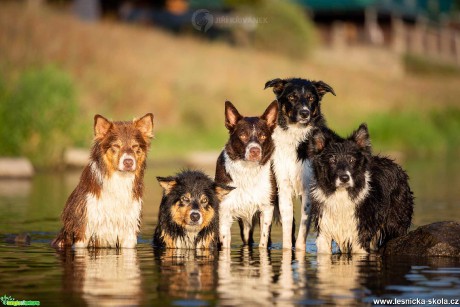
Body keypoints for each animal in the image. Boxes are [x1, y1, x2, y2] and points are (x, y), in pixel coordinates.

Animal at [51, 113, 154, 250]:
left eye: (135, 146)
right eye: (116, 146)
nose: (128, 162)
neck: (119, 181)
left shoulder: (129, 231)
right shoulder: (83, 229)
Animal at [215, 101, 276, 250]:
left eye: (262, 136)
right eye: (243, 135)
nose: (255, 150)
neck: (248, 172)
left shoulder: (267, 208)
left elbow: (263, 242)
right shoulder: (225, 209)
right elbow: (225, 242)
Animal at [264, 77, 336, 250]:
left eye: (310, 98)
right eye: (292, 97)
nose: (305, 113)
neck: (296, 137)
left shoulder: (309, 190)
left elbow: (303, 231)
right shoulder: (283, 187)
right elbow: (288, 225)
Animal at [310, 124, 414, 254]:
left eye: (351, 160)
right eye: (332, 160)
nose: (344, 178)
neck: (341, 194)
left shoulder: (360, 234)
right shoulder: (324, 232)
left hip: (396, 222)